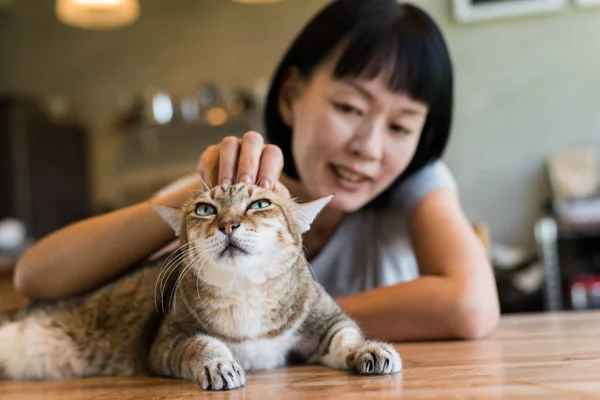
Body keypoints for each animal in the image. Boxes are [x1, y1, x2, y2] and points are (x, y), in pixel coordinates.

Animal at [2, 184, 404, 390]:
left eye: (260, 204)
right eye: (205, 209)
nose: (228, 224)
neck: (245, 292)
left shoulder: (325, 321)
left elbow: (347, 336)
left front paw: (371, 350)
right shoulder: (168, 340)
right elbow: (203, 345)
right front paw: (219, 365)